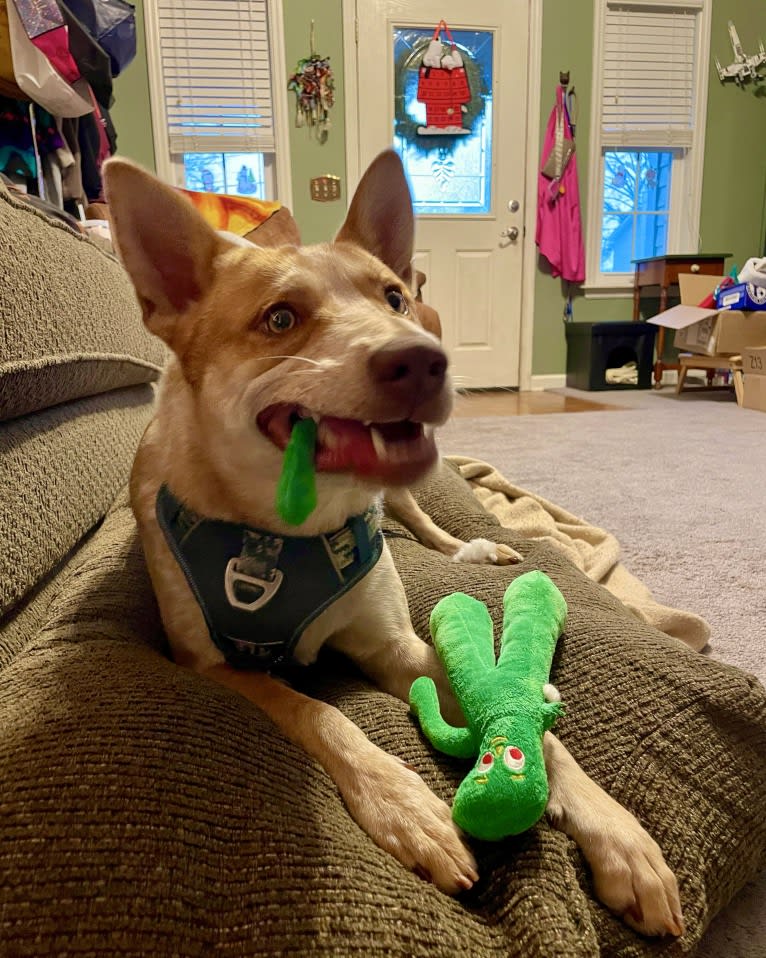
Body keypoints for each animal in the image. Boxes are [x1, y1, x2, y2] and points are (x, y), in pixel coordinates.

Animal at [102, 150, 684, 936]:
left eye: (394, 298)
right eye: (280, 318)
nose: (424, 359)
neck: (289, 529)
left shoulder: (395, 645)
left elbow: (541, 733)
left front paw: (619, 836)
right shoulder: (209, 664)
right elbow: (316, 713)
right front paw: (407, 807)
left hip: (410, 494)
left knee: (426, 524)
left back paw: (475, 550)